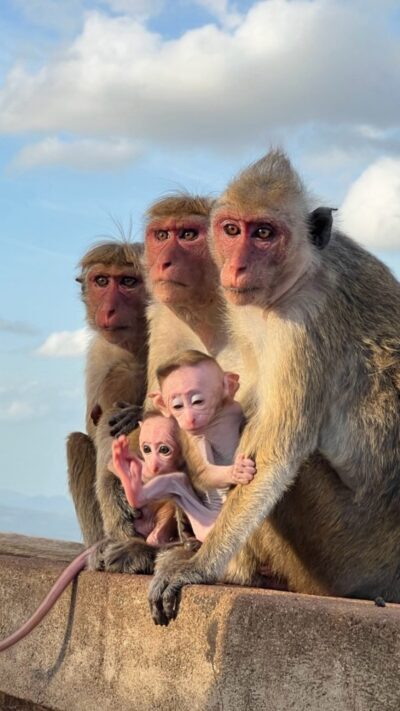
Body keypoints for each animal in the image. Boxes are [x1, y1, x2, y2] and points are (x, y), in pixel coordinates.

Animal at [148, 148, 400, 625]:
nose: (236, 266)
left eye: (264, 233)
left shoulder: (302, 324)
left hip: (346, 552)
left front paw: (199, 567)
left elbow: (276, 454)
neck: (305, 270)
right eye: (232, 229)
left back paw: (237, 573)